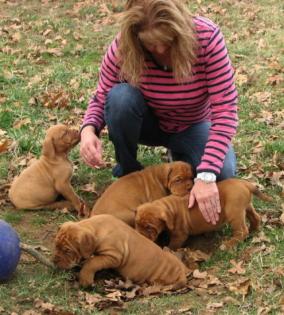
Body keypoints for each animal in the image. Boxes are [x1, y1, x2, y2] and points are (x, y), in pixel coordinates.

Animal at [52, 216, 189, 290]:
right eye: (56, 245)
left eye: (67, 250)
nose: (54, 261)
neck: (97, 228)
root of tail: (182, 272)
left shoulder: (113, 256)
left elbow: (92, 262)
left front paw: (85, 279)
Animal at [135, 179, 270, 251]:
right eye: (137, 225)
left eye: (149, 227)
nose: (140, 237)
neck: (168, 206)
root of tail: (244, 183)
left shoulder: (179, 235)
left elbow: (173, 245)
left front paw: (168, 250)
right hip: (246, 207)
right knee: (255, 218)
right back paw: (254, 230)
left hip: (234, 212)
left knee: (242, 231)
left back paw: (228, 244)